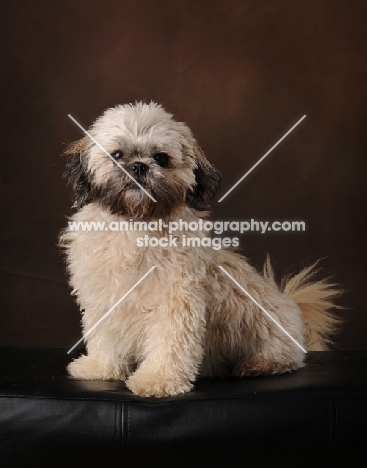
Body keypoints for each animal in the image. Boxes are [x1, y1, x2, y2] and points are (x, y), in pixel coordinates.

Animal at [59, 100, 340, 396]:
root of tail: (292, 306)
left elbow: (170, 345)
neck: (136, 226)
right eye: (116, 154)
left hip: (273, 332)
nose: (138, 166)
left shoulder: (176, 303)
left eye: (161, 158)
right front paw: (100, 367)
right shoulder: (104, 299)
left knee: (287, 358)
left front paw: (158, 379)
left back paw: (256, 365)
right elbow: (104, 338)